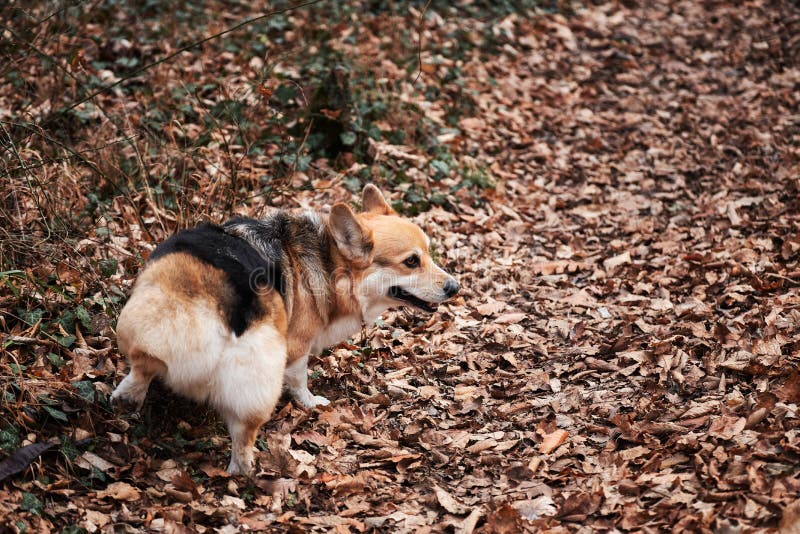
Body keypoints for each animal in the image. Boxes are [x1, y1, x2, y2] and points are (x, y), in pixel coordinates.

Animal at [113, 186, 462, 476]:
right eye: (412, 261)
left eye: (428, 253)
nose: (455, 287)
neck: (330, 261)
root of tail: (211, 292)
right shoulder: (296, 347)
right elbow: (299, 381)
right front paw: (311, 404)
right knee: (244, 438)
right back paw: (244, 475)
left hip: (139, 325)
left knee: (142, 365)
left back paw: (125, 399)